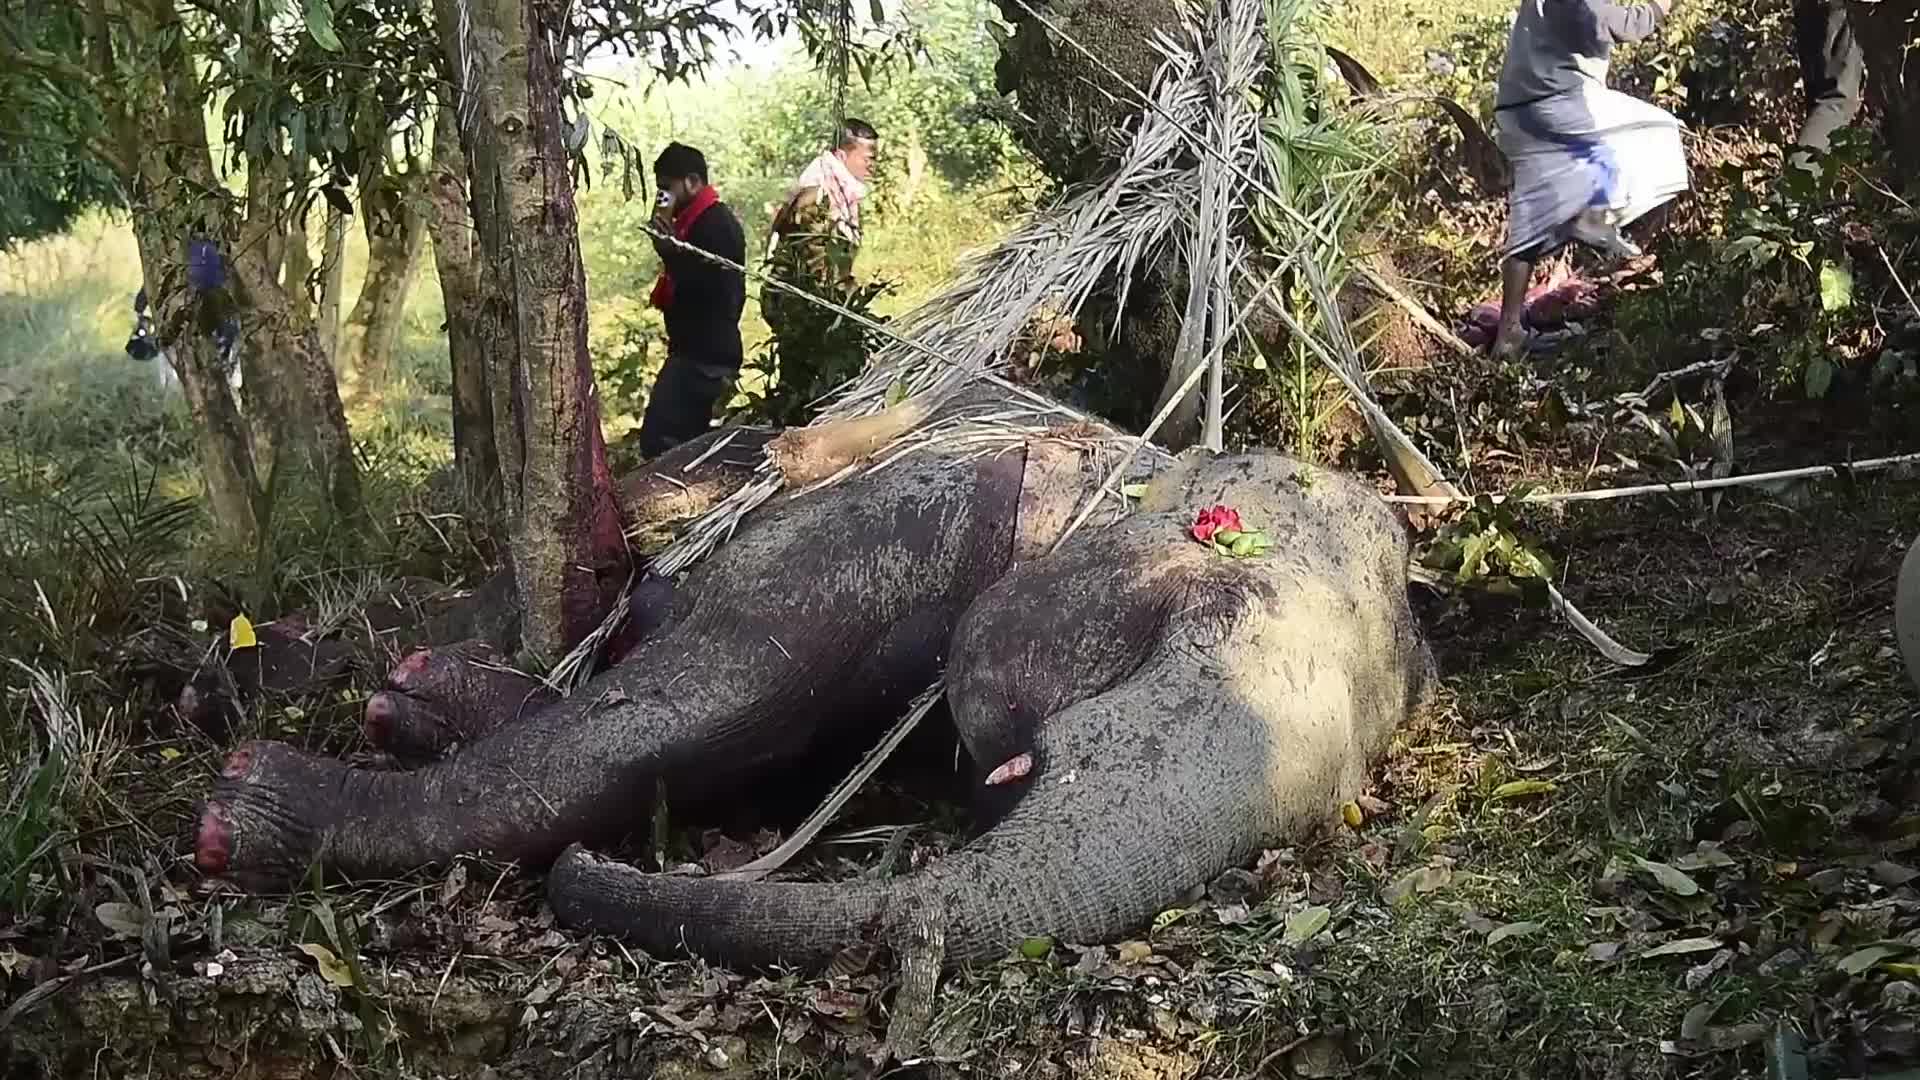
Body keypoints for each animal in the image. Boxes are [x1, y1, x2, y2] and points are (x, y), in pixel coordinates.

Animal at [194, 386, 1435, 974]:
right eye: (1197, 601)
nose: (588, 873)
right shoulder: (911, 526)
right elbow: (697, 704)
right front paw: (246, 814)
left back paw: (407, 692)